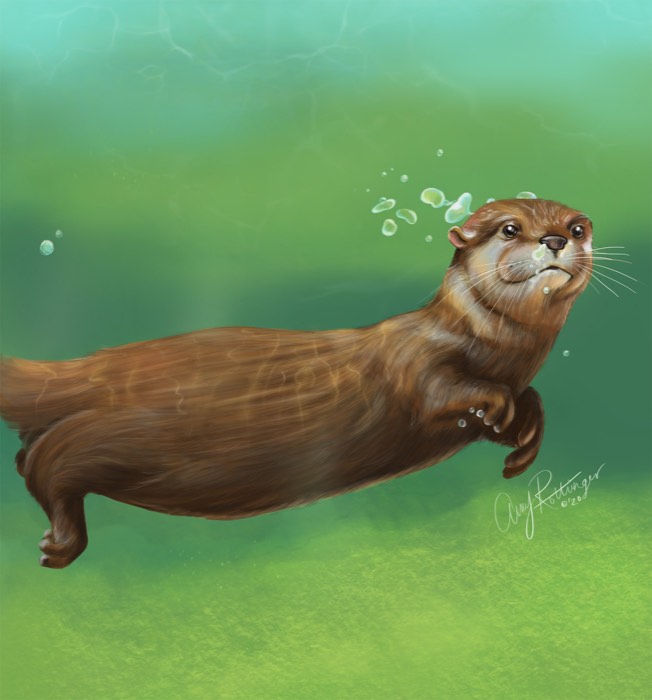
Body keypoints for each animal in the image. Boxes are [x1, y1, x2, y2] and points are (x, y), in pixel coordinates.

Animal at [0, 198, 593, 568]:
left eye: (578, 226)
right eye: (510, 229)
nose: (554, 239)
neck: (486, 344)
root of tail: (91, 367)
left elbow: (528, 401)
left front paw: (522, 441)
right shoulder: (415, 360)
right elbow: (443, 391)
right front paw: (497, 405)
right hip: (136, 433)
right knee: (47, 460)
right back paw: (60, 543)